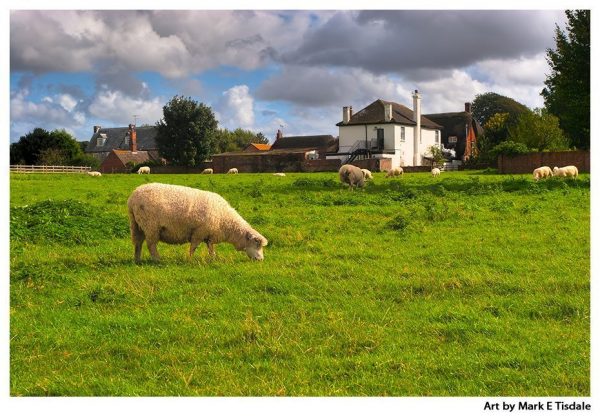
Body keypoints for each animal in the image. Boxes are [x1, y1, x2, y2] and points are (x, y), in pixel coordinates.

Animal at [127, 184, 268, 262]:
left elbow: (211, 249)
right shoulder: (199, 232)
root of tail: (133, 197)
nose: (261, 260)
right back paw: (157, 259)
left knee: (138, 243)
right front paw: (189, 259)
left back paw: (137, 259)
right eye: (256, 244)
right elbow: (193, 247)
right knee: (151, 245)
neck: (226, 222)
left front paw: (213, 259)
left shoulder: (209, 235)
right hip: (151, 226)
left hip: (137, 225)